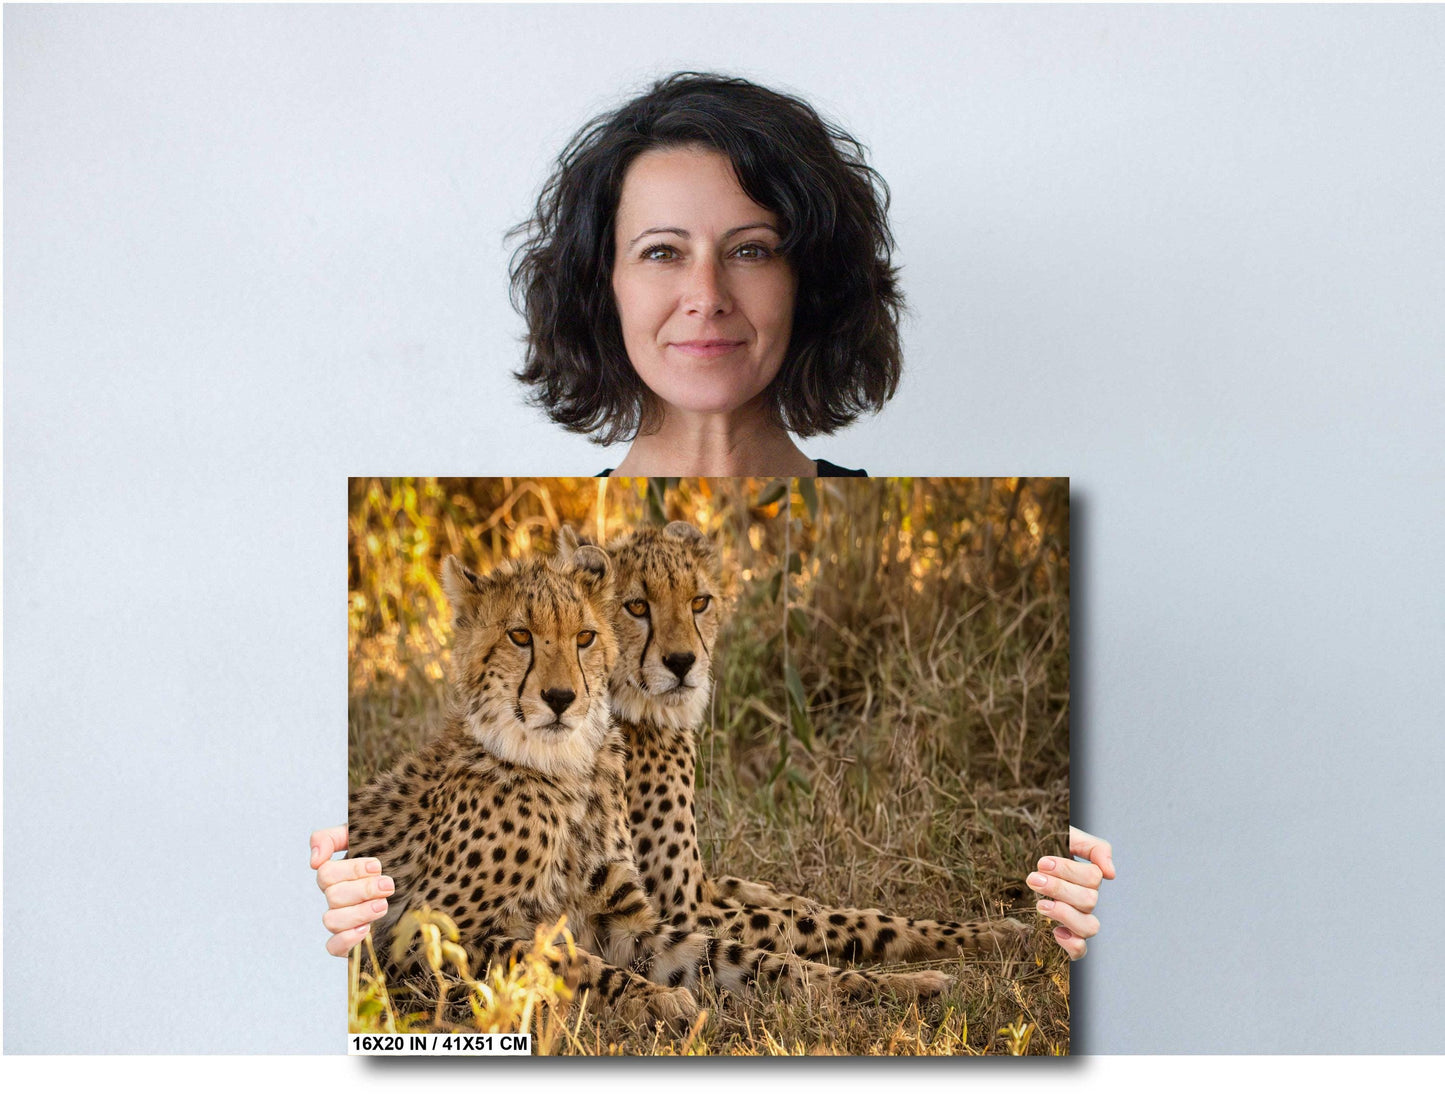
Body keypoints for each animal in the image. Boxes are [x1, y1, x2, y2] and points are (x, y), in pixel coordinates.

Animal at [346, 541, 953, 1031]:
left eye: (585, 637)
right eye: (520, 636)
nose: (561, 698)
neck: (567, 771)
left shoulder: (634, 922)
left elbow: (761, 955)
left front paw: (903, 983)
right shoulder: (416, 940)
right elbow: (558, 958)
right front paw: (658, 999)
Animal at [559, 519, 1031, 968]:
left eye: (699, 602)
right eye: (637, 606)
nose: (681, 663)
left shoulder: (698, 891)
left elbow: (761, 890)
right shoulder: (680, 908)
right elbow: (851, 921)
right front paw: (983, 932)